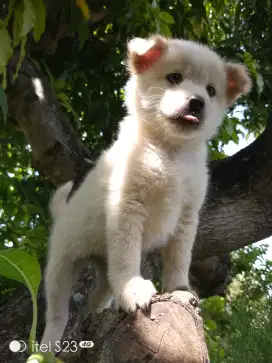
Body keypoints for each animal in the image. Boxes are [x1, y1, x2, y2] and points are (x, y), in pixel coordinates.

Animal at [40, 35, 251, 352]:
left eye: (211, 90)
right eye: (174, 77)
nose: (197, 102)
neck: (170, 152)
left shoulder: (186, 217)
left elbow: (179, 258)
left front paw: (179, 288)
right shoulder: (127, 207)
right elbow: (128, 258)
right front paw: (134, 289)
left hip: (103, 275)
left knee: (95, 299)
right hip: (62, 267)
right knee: (57, 314)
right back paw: (47, 345)